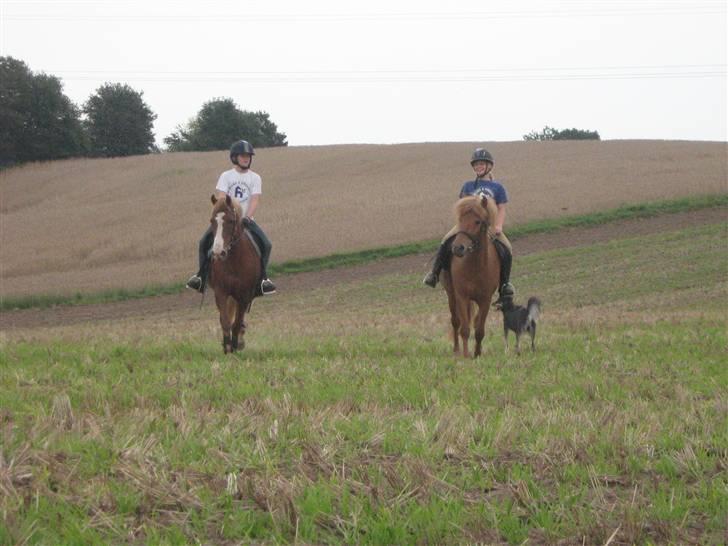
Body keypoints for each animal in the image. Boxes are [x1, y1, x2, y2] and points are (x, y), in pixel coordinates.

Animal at [206, 193, 260, 354]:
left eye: (230, 221)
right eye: (212, 221)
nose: (218, 253)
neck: (233, 261)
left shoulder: (244, 295)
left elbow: (237, 322)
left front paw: (235, 346)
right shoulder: (221, 292)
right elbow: (225, 321)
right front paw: (227, 347)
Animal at [444, 194, 500, 356]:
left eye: (477, 221)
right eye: (460, 220)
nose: (457, 248)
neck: (475, 267)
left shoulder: (485, 300)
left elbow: (479, 329)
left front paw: (477, 354)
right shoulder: (462, 296)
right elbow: (464, 329)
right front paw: (466, 355)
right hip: (451, 294)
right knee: (455, 321)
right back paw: (456, 350)